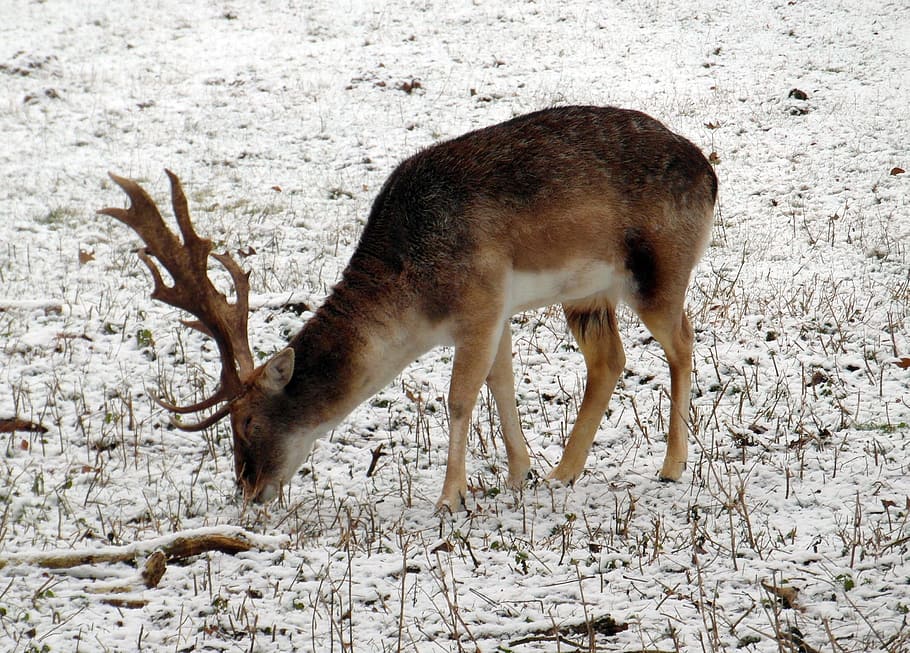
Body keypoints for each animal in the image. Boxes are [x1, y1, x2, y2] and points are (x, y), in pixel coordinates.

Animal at [100, 105, 717, 512]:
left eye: (247, 420)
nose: (249, 489)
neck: (418, 302)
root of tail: (711, 174)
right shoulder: (497, 312)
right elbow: (501, 385)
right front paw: (520, 476)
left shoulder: (480, 300)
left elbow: (460, 398)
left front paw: (449, 498)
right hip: (587, 294)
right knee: (610, 359)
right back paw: (563, 474)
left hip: (660, 271)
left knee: (684, 341)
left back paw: (671, 467)